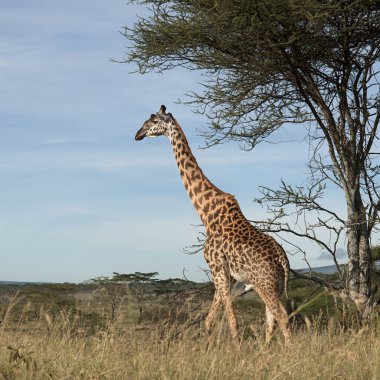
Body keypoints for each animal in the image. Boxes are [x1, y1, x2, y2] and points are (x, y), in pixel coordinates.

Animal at [134, 105, 290, 342]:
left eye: (153, 121)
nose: (138, 134)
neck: (206, 213)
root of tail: (283, 259)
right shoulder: (229, 276)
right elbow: (209, 321)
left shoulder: (216, 267)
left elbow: (232, 323)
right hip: (274, 284)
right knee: (271, 319)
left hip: (264, 283)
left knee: (281, 316)